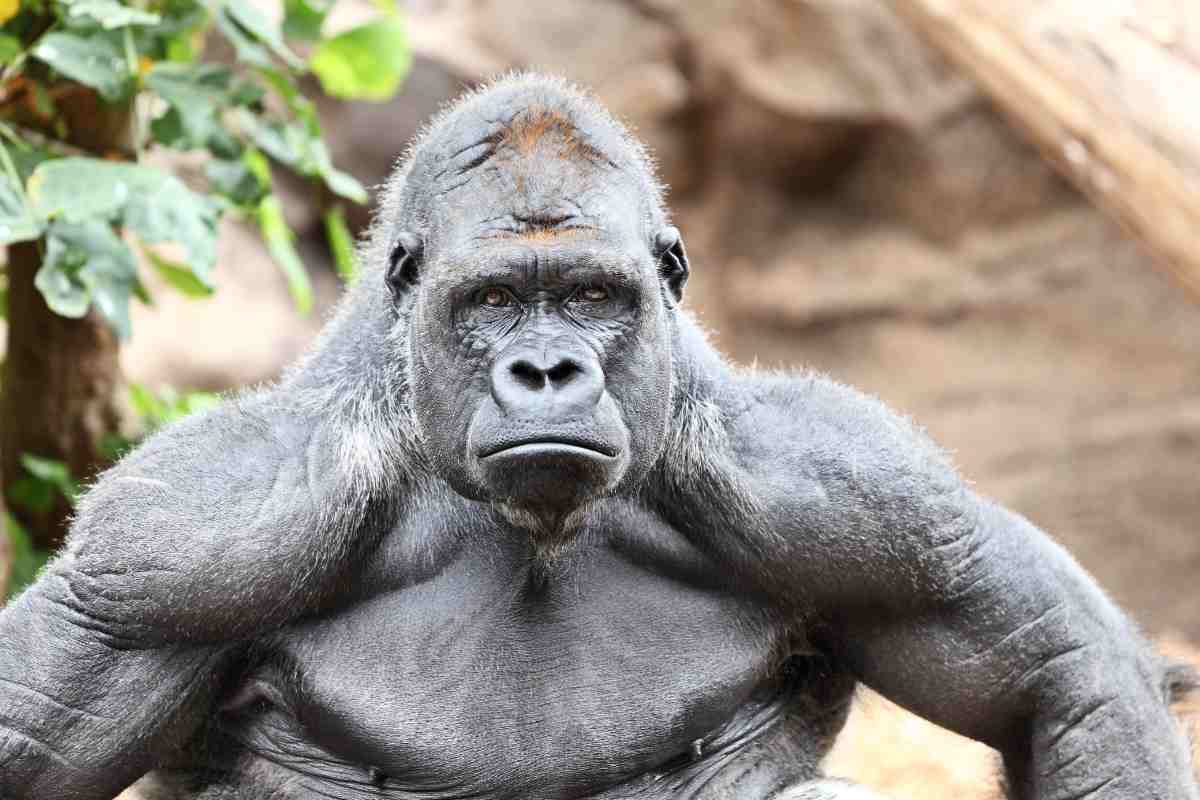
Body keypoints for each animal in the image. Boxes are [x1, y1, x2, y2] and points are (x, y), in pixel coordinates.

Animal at [0, 73, 1195, 800]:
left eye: (589, 297)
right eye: (491, 302)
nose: (546, 371)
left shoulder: (864, 498)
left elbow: (1061, 671)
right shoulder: (189, 539)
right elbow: (33, 735)